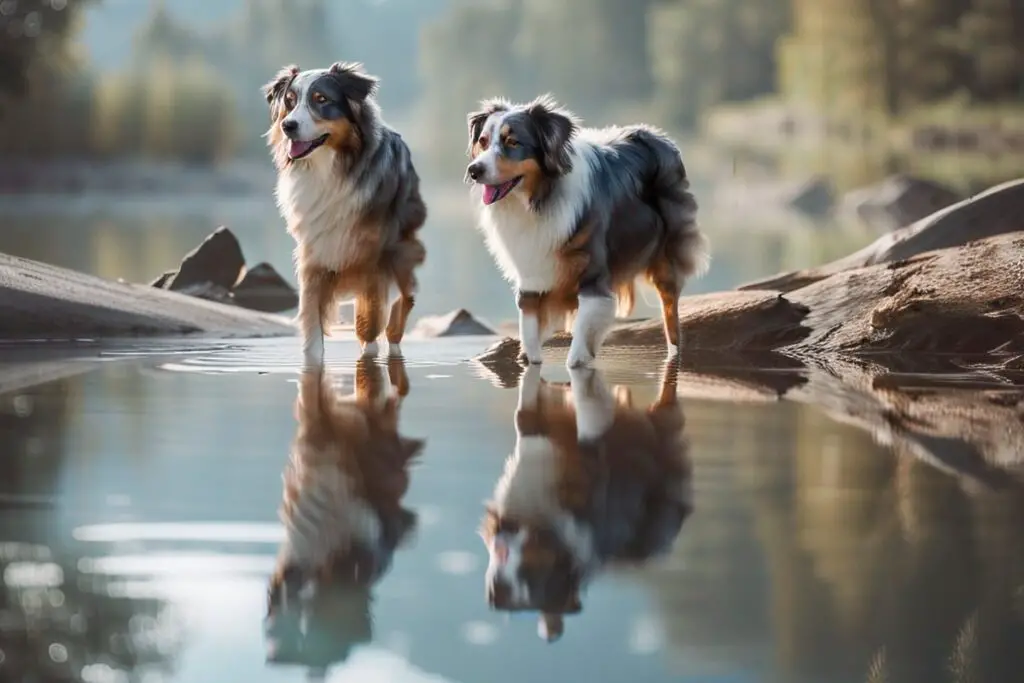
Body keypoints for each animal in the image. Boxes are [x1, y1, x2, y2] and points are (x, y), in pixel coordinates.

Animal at [264, 61, 428, 366]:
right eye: (290, 101)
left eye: (321, 99)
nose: (287, 125)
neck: (330, 169)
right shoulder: (314, 255)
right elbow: (313, 329)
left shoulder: (374, 257)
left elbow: (370, 323)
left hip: (401, 251)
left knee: (400, 308)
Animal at [466, 96, 712, 368]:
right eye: (483, 141)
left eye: (512, 142)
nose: (473, 170)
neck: (539, 200)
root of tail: (651, 135)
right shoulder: (532, 274)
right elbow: (529, 335)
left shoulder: (593, 274)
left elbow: (579, 345)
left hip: (666, 258)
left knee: (670, 311)